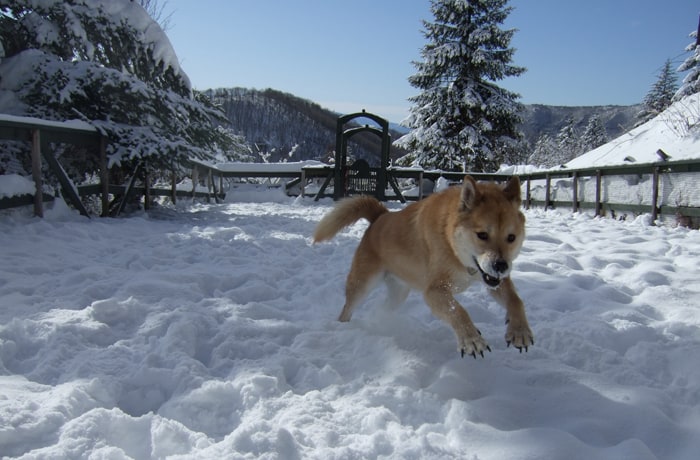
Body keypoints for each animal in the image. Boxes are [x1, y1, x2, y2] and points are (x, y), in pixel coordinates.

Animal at [314, 176, 532, 360]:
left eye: (511, 237)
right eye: (482, 235)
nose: (501, 265)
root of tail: (380, 217)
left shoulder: (494, 281)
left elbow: (516, 300)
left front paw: (519, 331)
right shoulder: (434, 291)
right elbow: (458, 311)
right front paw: (471, 339)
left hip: (398, 293)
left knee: (383, 308)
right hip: (362, 283)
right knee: (347, 309)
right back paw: (343, 328)